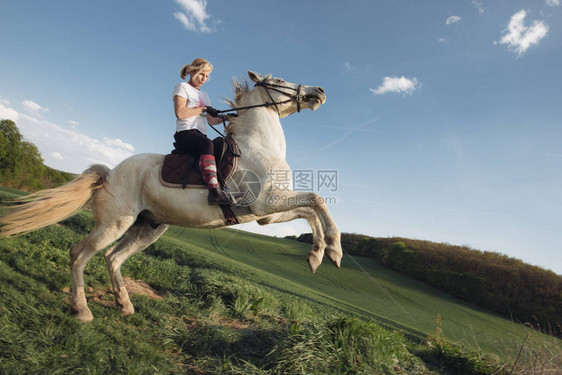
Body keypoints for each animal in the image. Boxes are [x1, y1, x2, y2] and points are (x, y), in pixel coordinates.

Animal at [0, 71, 342, 324]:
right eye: (280, 80)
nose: (320, 91)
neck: (257, 145)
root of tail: (110, 174)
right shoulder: (266, 204)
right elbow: (317, 200)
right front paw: (334, 251)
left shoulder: (266, 214)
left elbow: (312, 209)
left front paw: (318, 255)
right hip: (114, 224)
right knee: (79, 253)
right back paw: (81, 309)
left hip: (147, 228)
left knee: (113, 258)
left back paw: (124, 305)